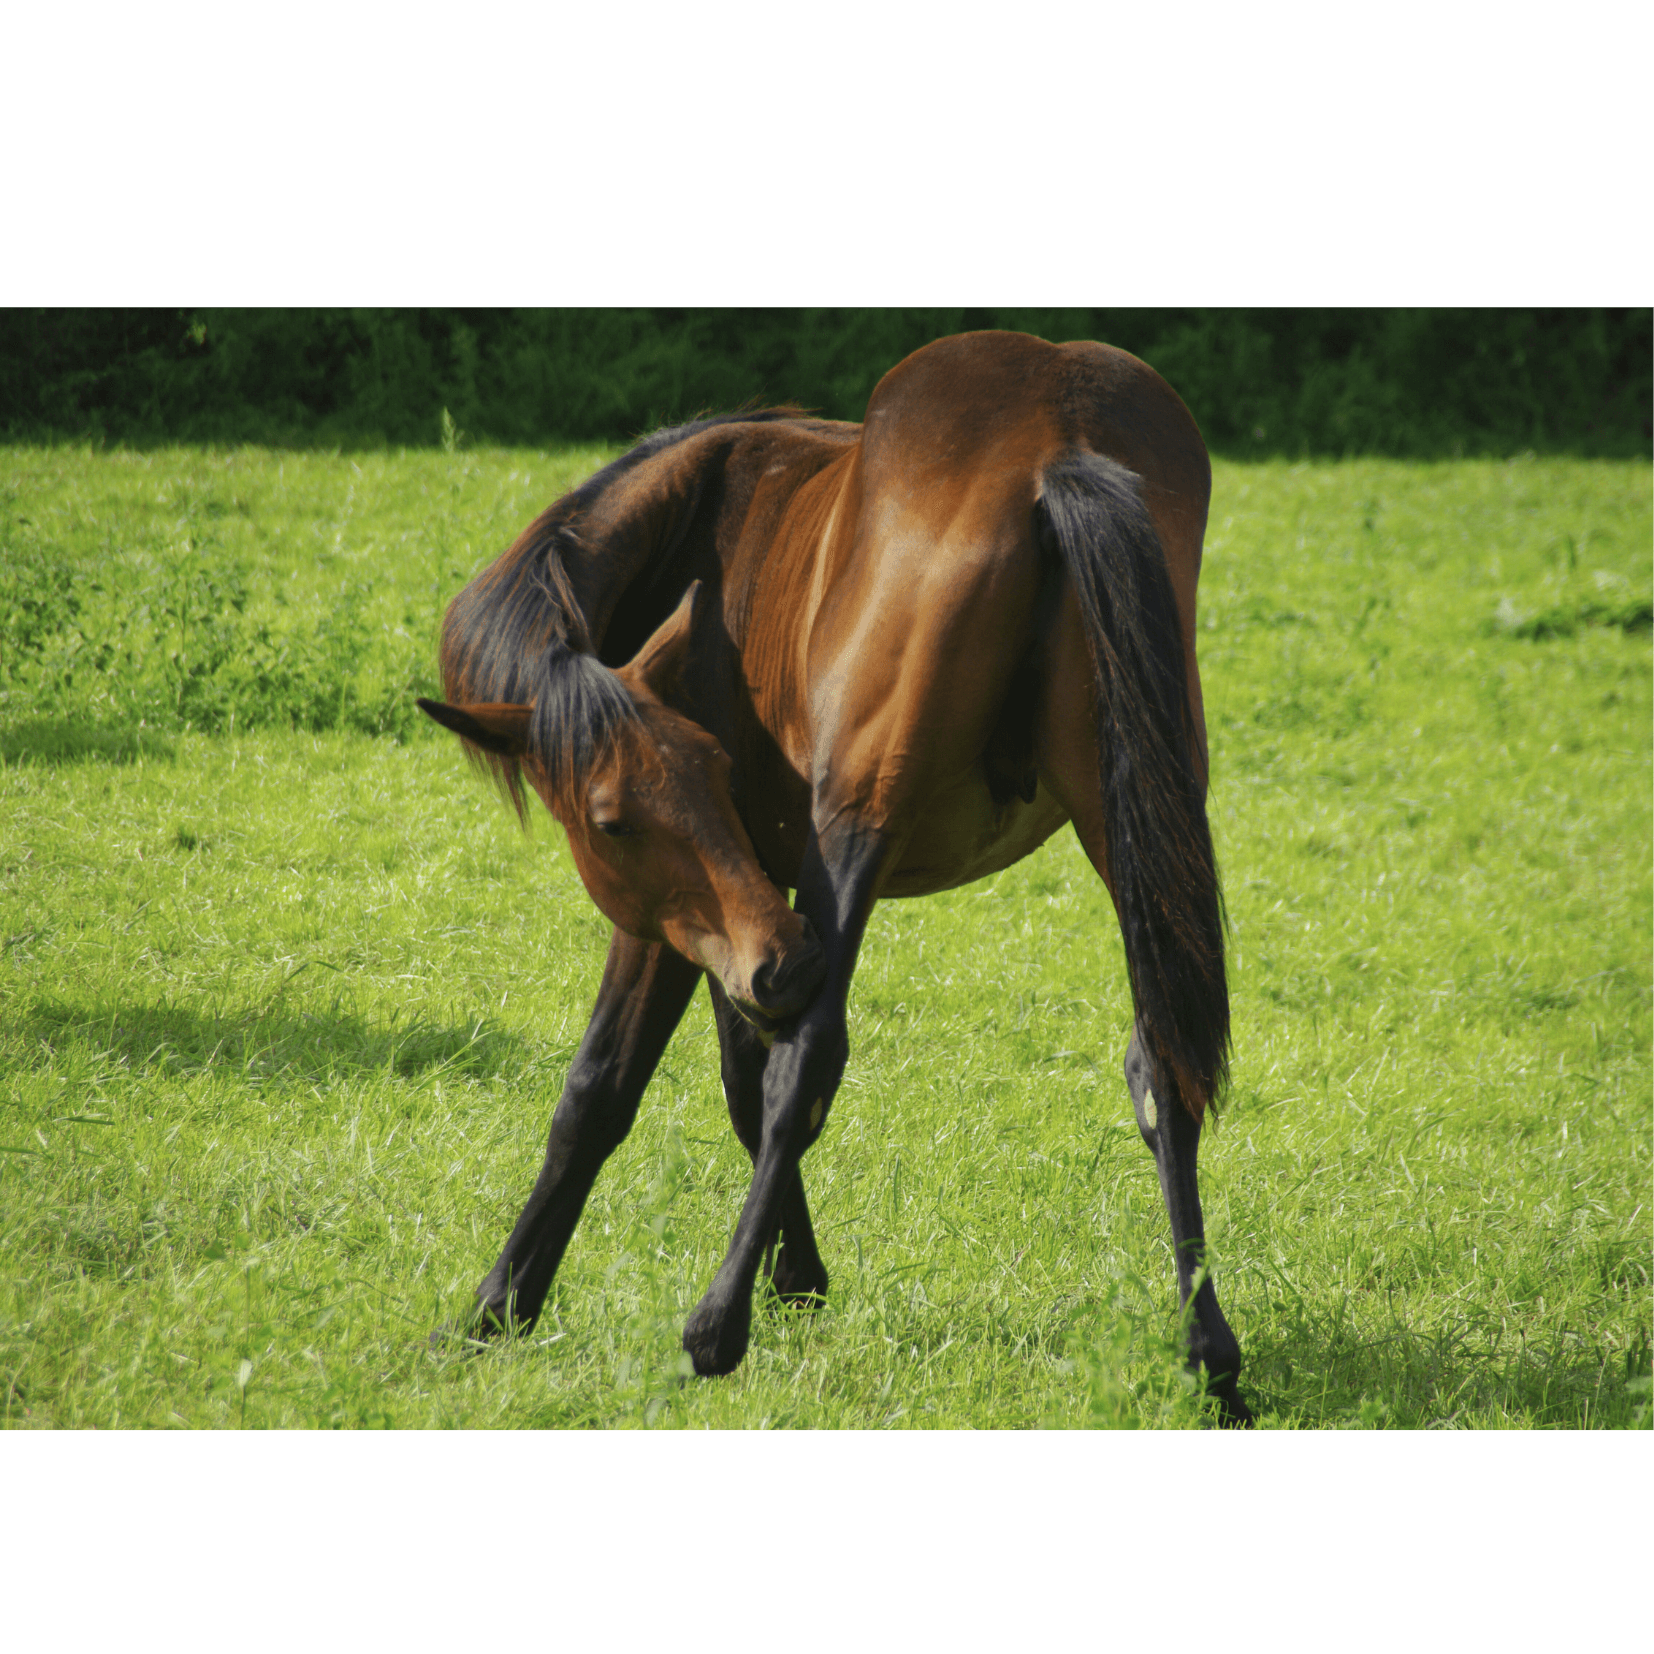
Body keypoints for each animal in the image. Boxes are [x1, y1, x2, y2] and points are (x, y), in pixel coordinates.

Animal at [420, 332, 1243, 1422]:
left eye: (613, 821)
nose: (783, 964)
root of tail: (1057, 433)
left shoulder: (683, 923)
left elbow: (603, 1094)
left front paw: (498, 1307)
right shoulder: (745, 922)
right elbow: (738, 1076)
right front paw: (796, 1272)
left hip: (853, 826)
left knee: (811, 1057)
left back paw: (713, 1325)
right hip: (1134, 829)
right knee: (1163, 1061)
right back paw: (1211, 1354)